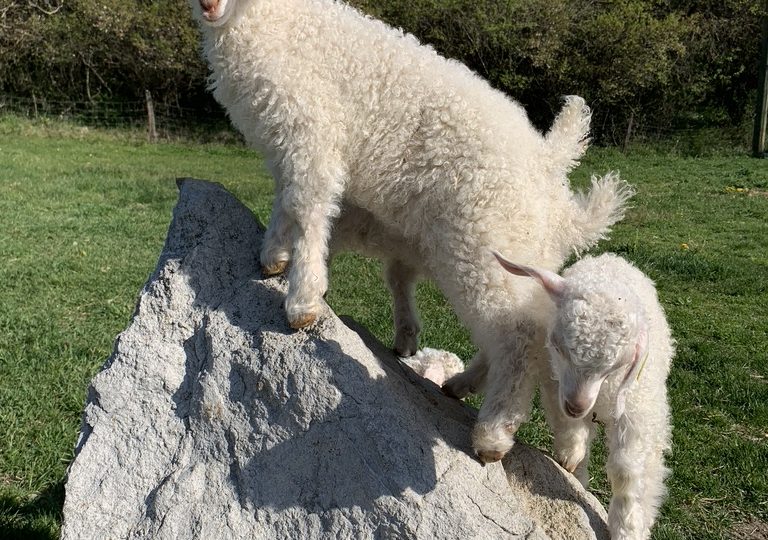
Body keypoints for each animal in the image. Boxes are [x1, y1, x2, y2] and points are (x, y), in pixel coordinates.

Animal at [189, 1, 632, 464]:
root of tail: (551, 173)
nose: (210, 6)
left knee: (519, 336)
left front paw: (302, 301)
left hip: (488, 244)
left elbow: (307, 204)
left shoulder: (310, 130)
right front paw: (274, 255)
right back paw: (474, 393)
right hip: (521, 256)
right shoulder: (284, 140)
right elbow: (287, 200)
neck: (274, 24)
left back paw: (495, 436)